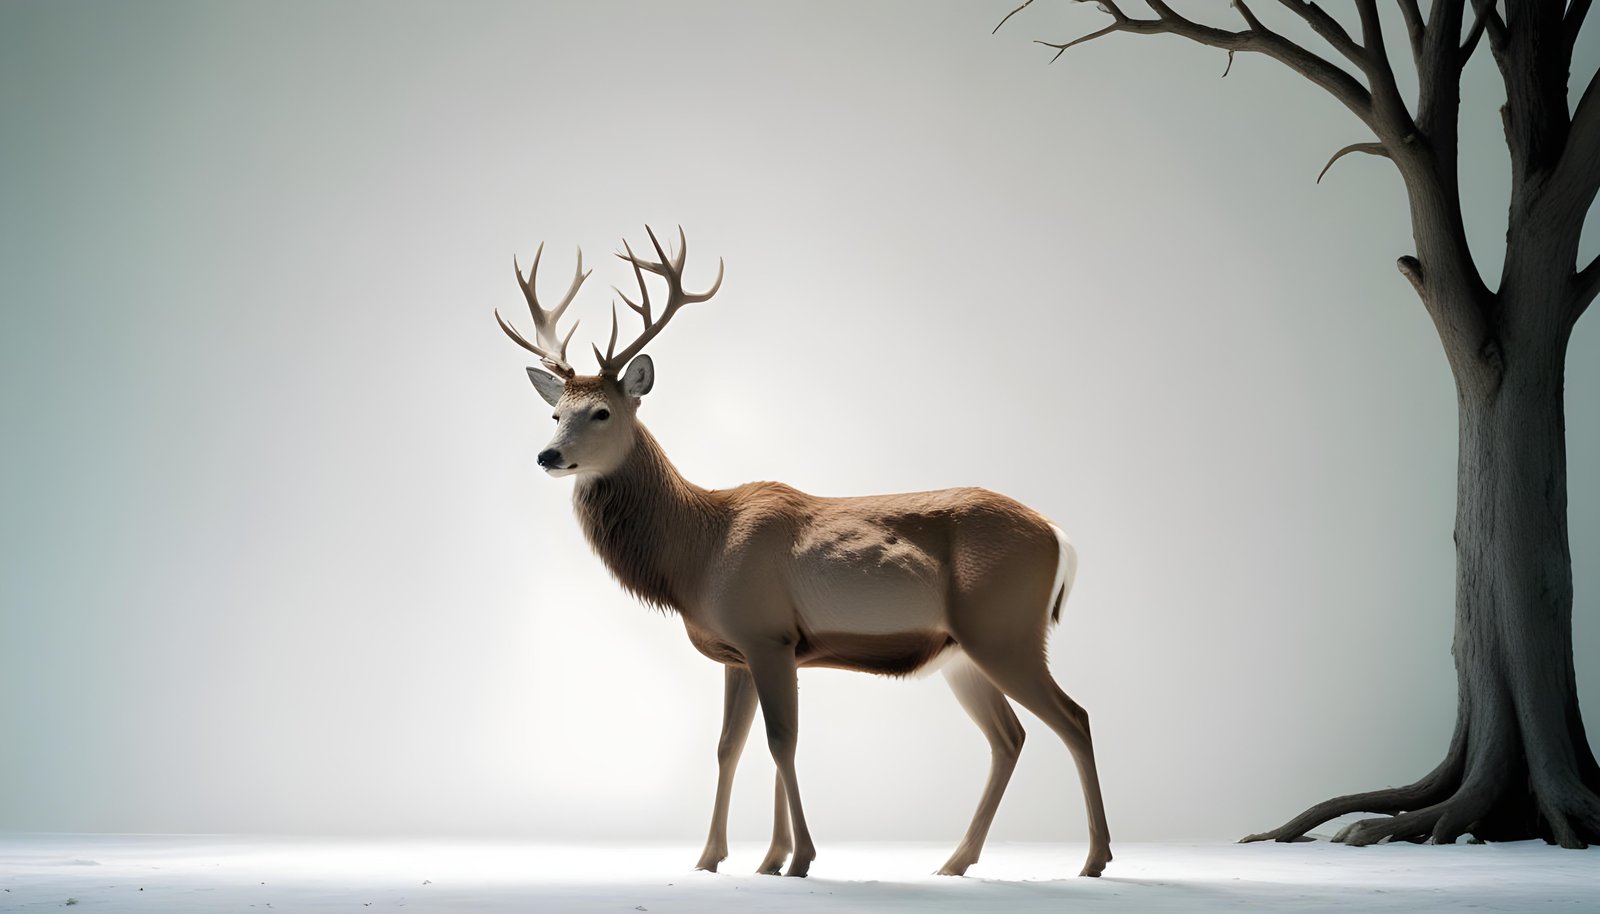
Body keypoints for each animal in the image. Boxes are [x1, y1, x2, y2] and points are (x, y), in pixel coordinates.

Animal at [497, 227, 1112, 879]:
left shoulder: (766, 633)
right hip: (962, 652)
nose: (548, 455)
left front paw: (799, 858)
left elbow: (781, 742)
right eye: (554, 411)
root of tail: (1059, 537)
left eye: (602, 411)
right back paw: (955, 862)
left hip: (1004, 629)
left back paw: (1094, 859)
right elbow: (730, 747)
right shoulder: (746, 652)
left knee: (1074, 718)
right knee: (1009, 737)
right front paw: (728, 858)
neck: (698, 554)